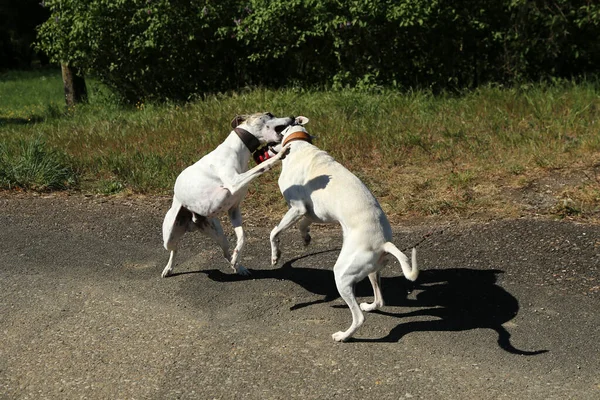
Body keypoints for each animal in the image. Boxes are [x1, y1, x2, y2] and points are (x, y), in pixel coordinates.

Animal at [162, 112, 296, 278]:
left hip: (217, 232)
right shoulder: (234, 182)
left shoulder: (234, 209)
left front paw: (237, 257)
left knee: (225, 252)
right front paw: (279, 155)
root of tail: (193, 220)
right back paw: (168, 268)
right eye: (269, 114)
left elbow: (242, 237)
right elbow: (262, 166)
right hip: (169, 236)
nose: (293, 117)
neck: (236, 149)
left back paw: (238, 266)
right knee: (174, 249)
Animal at [270, 117, 420, 342]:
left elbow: (274, 232)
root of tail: (383, 243)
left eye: (278, 128)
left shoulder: (297, 208)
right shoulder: (314, 213)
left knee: (358, 318)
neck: (300, 145)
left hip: (342, 275)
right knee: (379, 300)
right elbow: (304, 223)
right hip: (371, 272)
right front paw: (305, 238)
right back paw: (370, 306)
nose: (267, 145)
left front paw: (275, 255)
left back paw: (344, 336)